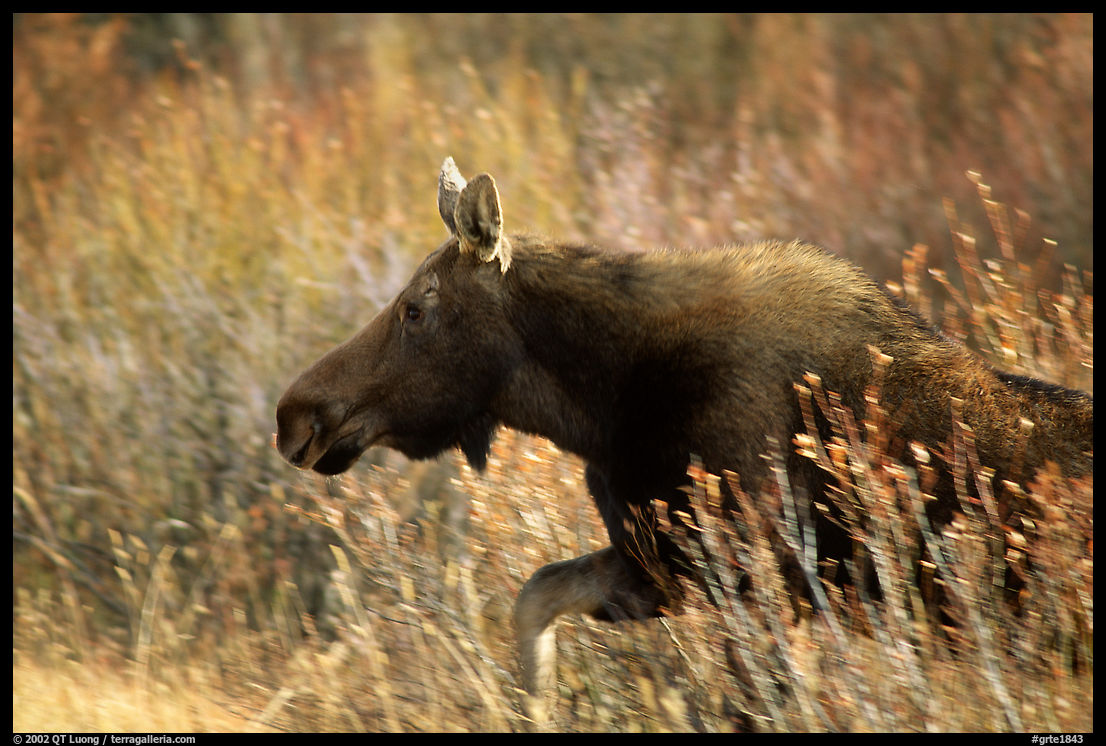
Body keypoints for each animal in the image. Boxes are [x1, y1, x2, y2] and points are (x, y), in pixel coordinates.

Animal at [275, 158, 1093, 721]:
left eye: (416, 309)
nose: (295, 414)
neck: (598, 408)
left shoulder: (755, 577)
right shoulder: (663, 562)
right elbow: (534, 596)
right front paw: (534, 707)